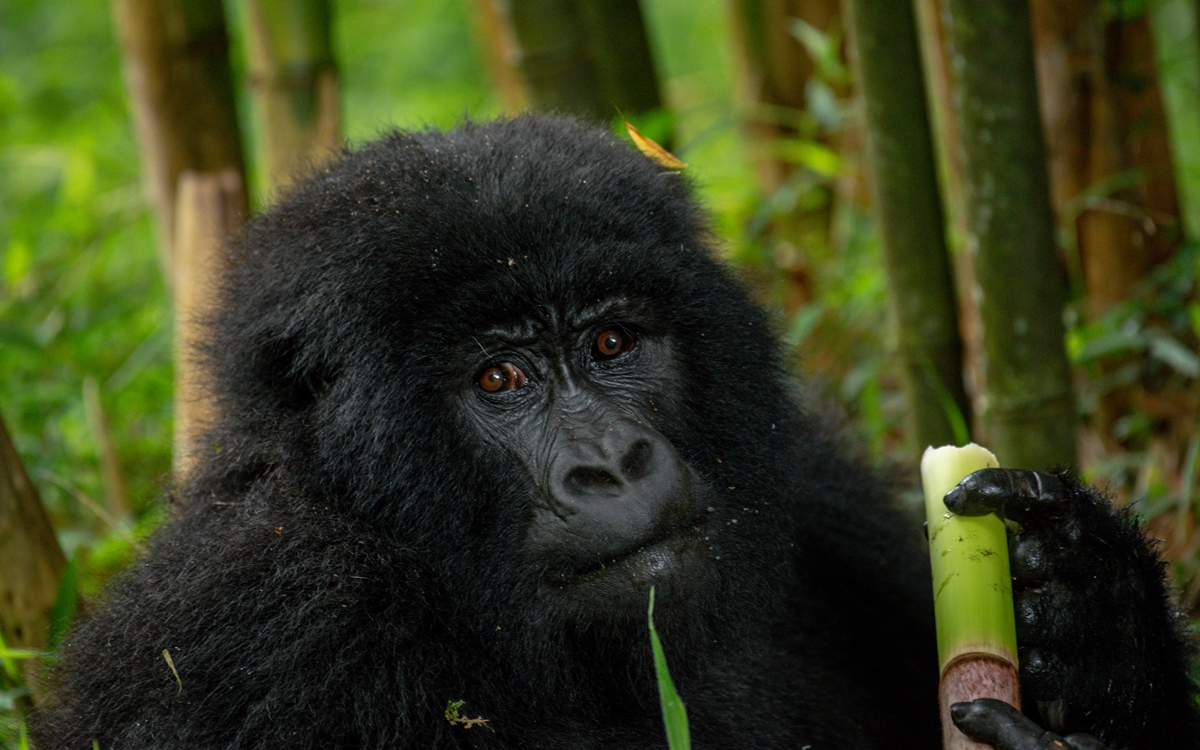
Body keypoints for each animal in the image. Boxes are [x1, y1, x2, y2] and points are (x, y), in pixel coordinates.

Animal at [32, 114, 1195, 744]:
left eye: (610, 344)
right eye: (499, 378)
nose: (612, 463)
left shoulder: (804, 477)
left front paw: (1092, 607)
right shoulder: (271, 616)